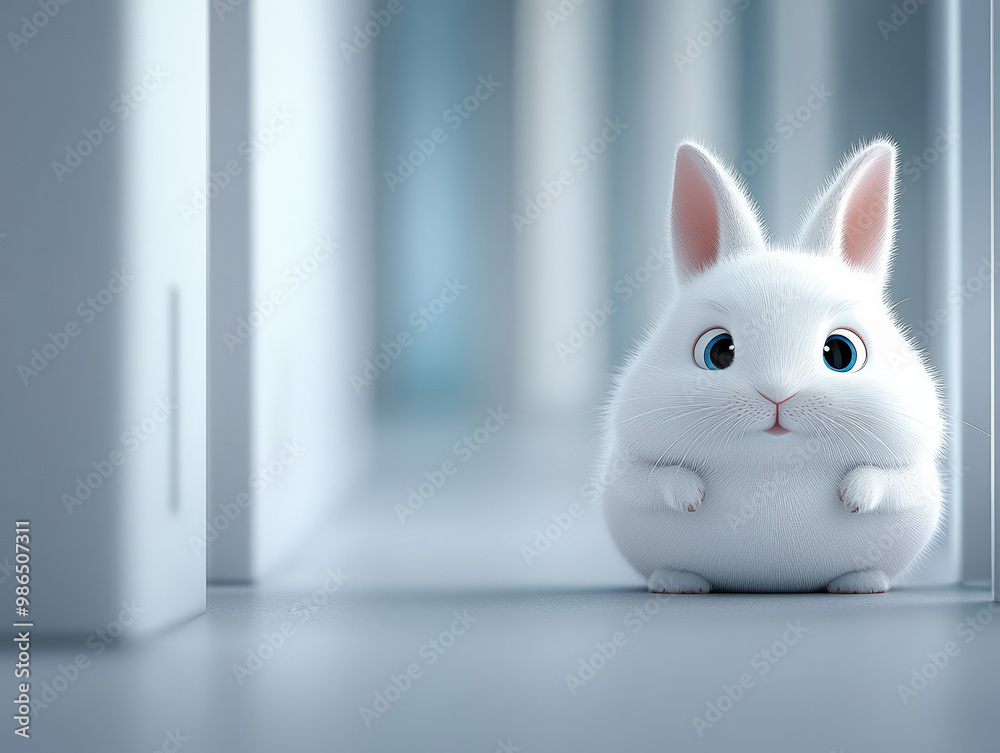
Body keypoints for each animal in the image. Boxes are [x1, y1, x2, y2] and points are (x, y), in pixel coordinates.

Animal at [601, 138, 944, 594]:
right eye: (718, 351)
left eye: (841, 353)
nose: (778, 394)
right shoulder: (623, 470)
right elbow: (647, 481)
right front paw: (690, 495)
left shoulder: (921, 477)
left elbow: (894, 483)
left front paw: (855, 495)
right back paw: (677, 583)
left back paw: (860, 584)